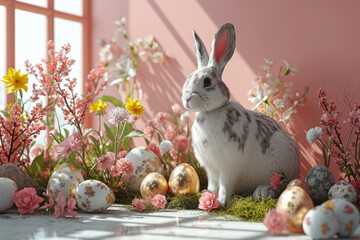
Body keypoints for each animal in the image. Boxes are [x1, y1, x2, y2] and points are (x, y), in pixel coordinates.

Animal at [181, 23, 300, 206]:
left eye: (207, 82)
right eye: (188, 78)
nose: (186, 98)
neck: (211, 112)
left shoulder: (229, 166)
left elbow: (225, 185)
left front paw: (221, 202)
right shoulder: (211, 169)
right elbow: (213, 184)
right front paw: (207, 196)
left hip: (281, 162)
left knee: (280, 186)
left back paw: (263, 191)